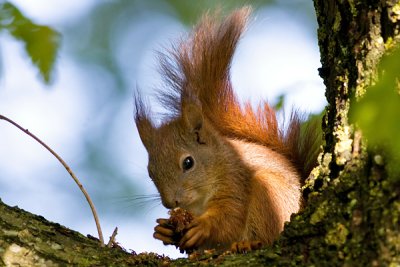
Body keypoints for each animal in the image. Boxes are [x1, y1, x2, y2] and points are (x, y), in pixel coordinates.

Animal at [136, 6, 320, 253]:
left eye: (188, 162)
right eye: (150, 172)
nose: (170, 202)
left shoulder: (235, 181)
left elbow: (230, 218)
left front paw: (203, 227)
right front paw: (163, 230)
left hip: (269, 193)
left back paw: (249, 242)